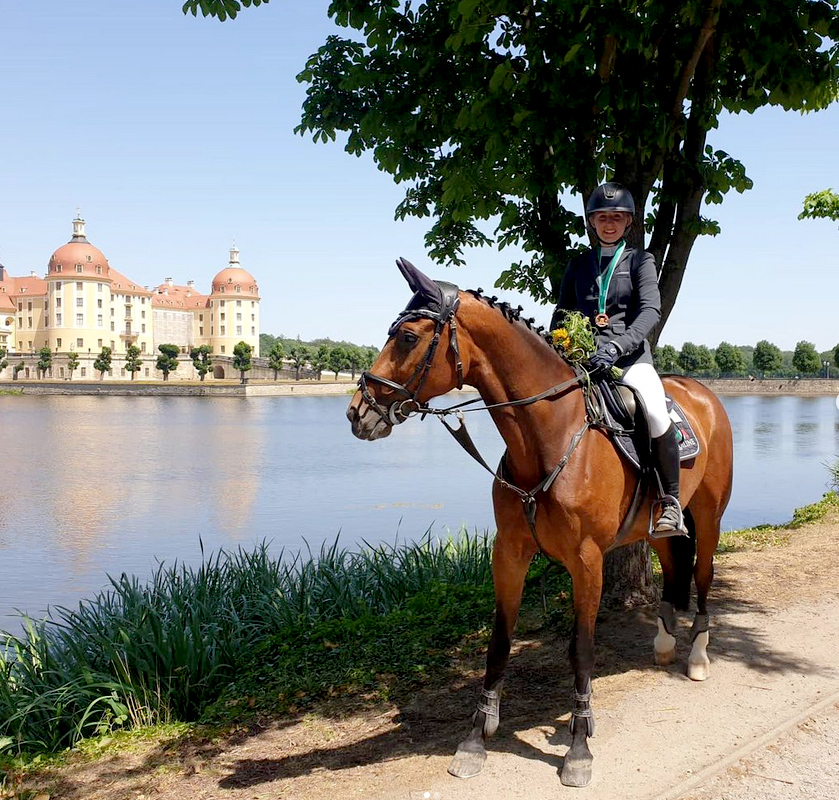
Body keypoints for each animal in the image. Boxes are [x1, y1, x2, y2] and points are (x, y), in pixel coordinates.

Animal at [344, 258, 732, 788]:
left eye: (405, 337)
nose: (357, 412)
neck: (550, 435)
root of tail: (702, 392)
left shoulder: (587, 561)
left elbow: (582, 649)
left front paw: (579, 747)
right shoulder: (509, 551)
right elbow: (498, 643)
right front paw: (475, 737)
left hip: (709, 516)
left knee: (703, 577)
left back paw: (696, 656)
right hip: (657, 530)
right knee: (674, 569)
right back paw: (665, 642)